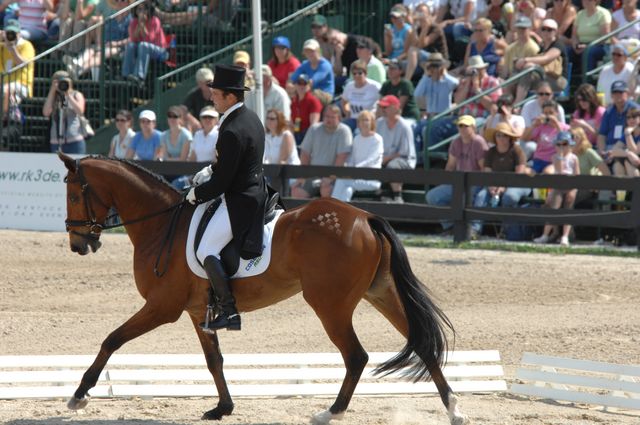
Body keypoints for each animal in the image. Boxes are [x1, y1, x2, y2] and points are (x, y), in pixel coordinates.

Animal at [58, 153, 470, 424]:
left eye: (74, 194)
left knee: (356, 356)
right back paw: (454, 409)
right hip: (380, 292)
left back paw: (329, 412)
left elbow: (112, 340)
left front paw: (79, 395)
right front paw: (223, 408)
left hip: (330, 305)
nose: (79, 245)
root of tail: (366, 217)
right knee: (421, 342)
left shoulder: (163, 307)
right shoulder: (197, 311)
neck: (161, 226)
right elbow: (214, 360)